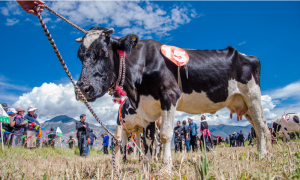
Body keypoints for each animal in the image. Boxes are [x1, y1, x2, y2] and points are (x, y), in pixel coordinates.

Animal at [75, 26, 272, 166]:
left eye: (102, 51)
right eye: (79, 56)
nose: (83, 88)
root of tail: (249, 56)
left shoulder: (169, 95)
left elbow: (164, 136)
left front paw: (167, 166)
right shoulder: (146, 109)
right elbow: (148, 140)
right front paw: (148, 166)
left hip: (253, 95)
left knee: (261, 125)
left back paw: (263, 155)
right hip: (242, 103)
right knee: (257, 125)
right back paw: (261, 151)